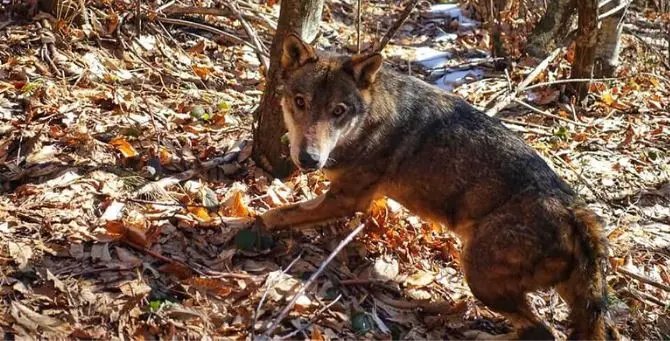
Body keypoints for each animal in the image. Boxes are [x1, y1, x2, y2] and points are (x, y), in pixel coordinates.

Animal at [256, 33, 620, 338]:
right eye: (300, 102)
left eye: (338, 111)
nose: (309, 159)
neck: (368, 122)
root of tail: (576, 210)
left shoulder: (346, 200)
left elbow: (278, 214)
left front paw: (247, 222)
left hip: (478, 274)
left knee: (540, 330)